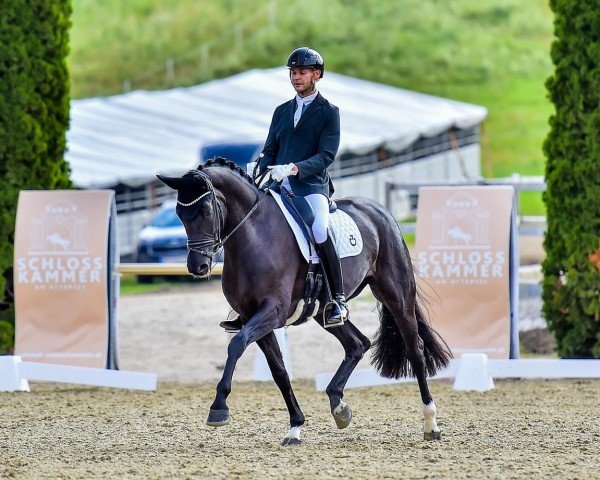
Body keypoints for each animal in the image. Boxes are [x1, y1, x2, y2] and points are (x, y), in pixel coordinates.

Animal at [159, 158, 450, 446]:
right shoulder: (252, 316)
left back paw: (431, 423)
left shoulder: (272, 312)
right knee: (357, 344)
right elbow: (279, 372)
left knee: (415, 350)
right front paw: (295, 427)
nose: (197, 267)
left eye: (206, 211)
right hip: (324, 311)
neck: (253, 236)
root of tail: (379, 211)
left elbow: (237, 344)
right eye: (180, 214)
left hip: (397, 296)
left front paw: (219, 407)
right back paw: (338, 404)